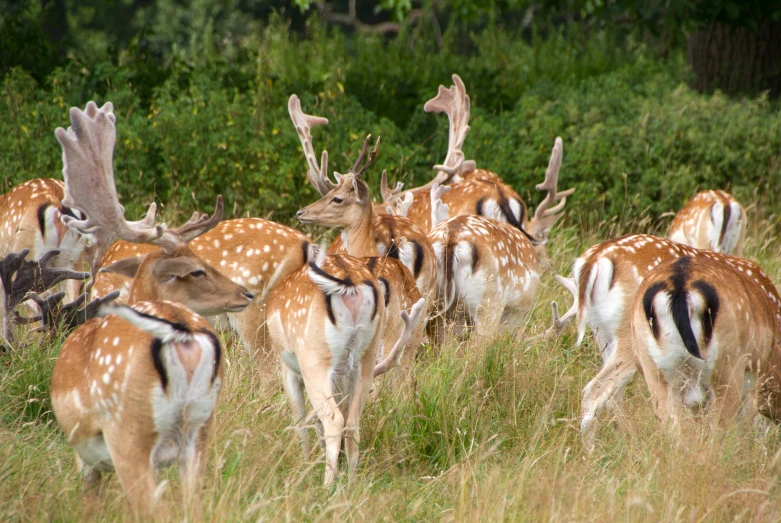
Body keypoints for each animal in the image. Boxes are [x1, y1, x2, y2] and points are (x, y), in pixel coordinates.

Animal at [48, 100, 254, 512]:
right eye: (197, 270)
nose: (246, 293)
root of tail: (182, 334)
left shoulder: (85, 453)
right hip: (201, 429)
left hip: (128, 430)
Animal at [268, 251, 426, 488]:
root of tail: (350, 282)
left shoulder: (287, 368)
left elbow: (299, 420)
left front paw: (303, 464)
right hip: (366, 358)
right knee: (352, 423)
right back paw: (351, 483)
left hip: (314, 359)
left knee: (334, 420)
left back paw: (326, 486)